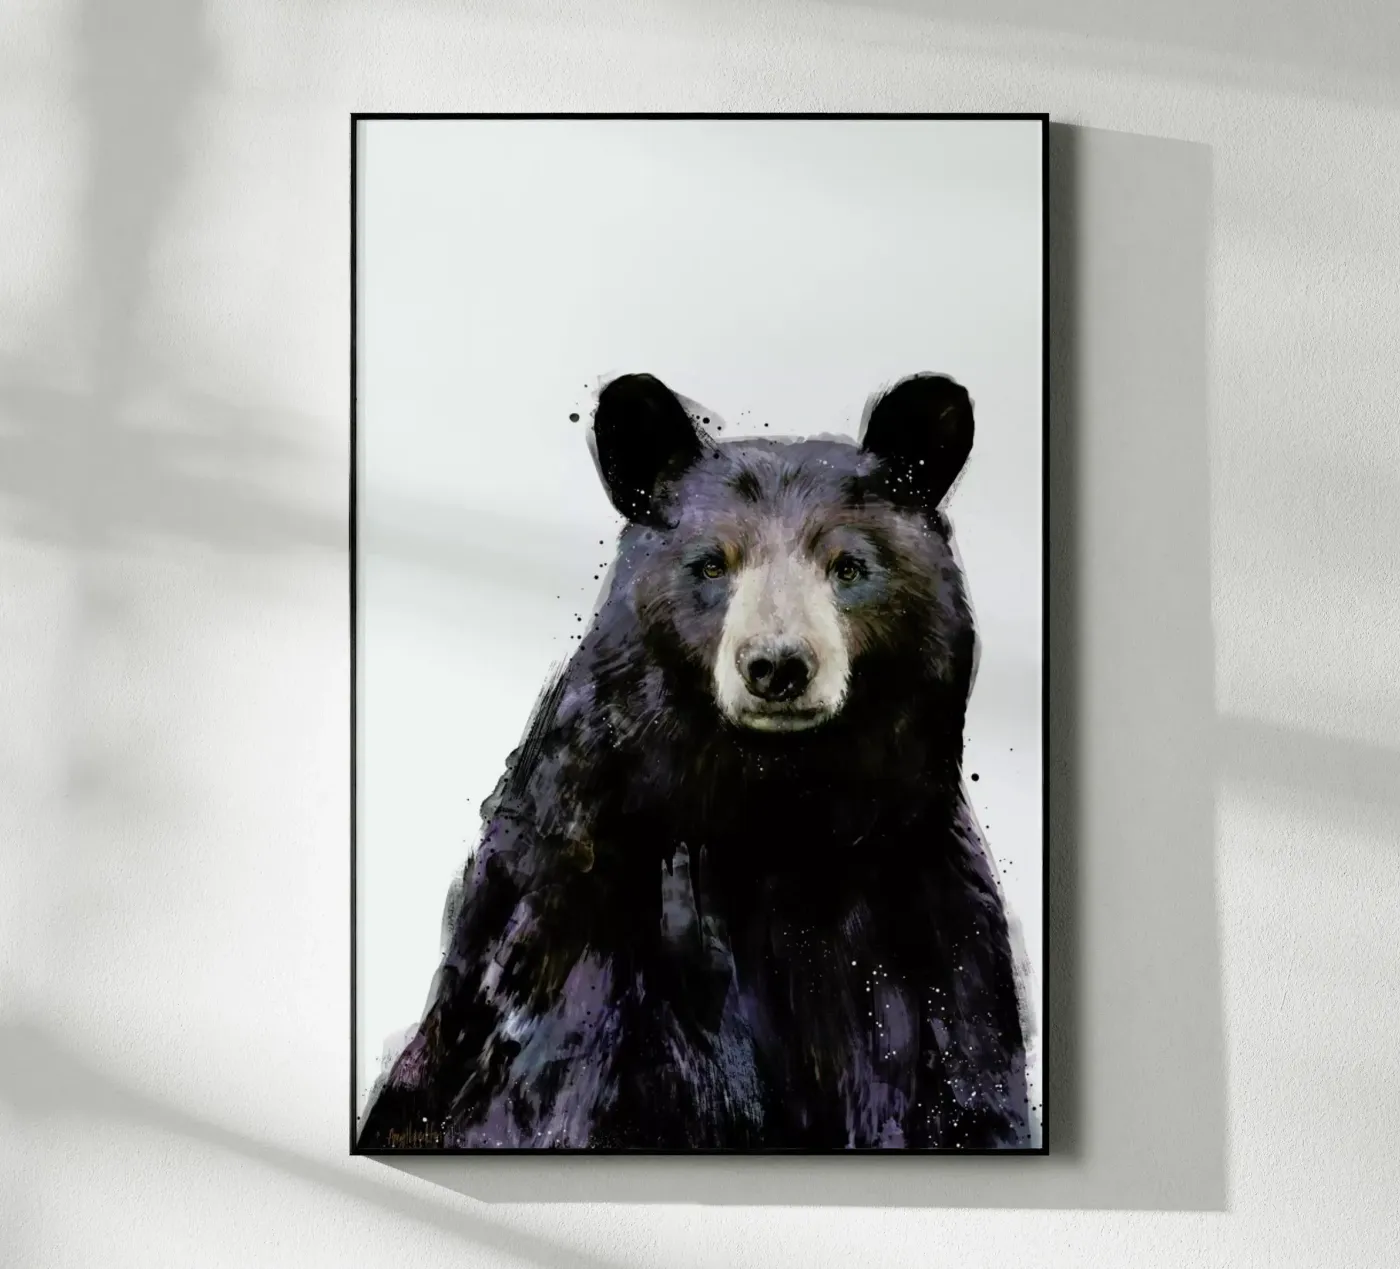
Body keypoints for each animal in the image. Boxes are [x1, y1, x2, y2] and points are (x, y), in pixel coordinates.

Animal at [356, 371, 1033, 1151]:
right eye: (712, 563)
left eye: (849, 566)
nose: (777, 665)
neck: (776, 812)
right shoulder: (583, 919)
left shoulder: (929, 919)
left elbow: (966, 1083)